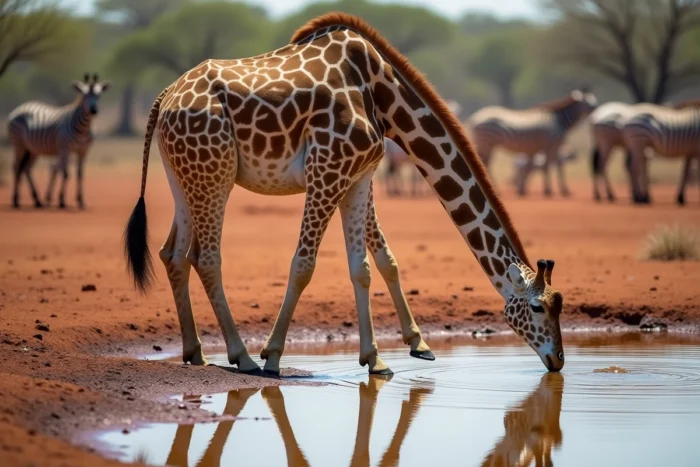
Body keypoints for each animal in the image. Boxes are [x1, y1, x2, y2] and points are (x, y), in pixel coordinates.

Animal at [123, 12, 565, 376]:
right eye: (538, 307)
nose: (558, 360)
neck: (382, 95)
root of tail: (165, 97)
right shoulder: (328, 169)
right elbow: (304, 264)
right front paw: (273, 355)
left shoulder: (359, 176)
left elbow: (368, 265)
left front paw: (379, 358)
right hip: (216, 175)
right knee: (206, 258)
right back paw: (243, 356)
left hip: (186, 176)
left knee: (173, 254)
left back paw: (196, 352)